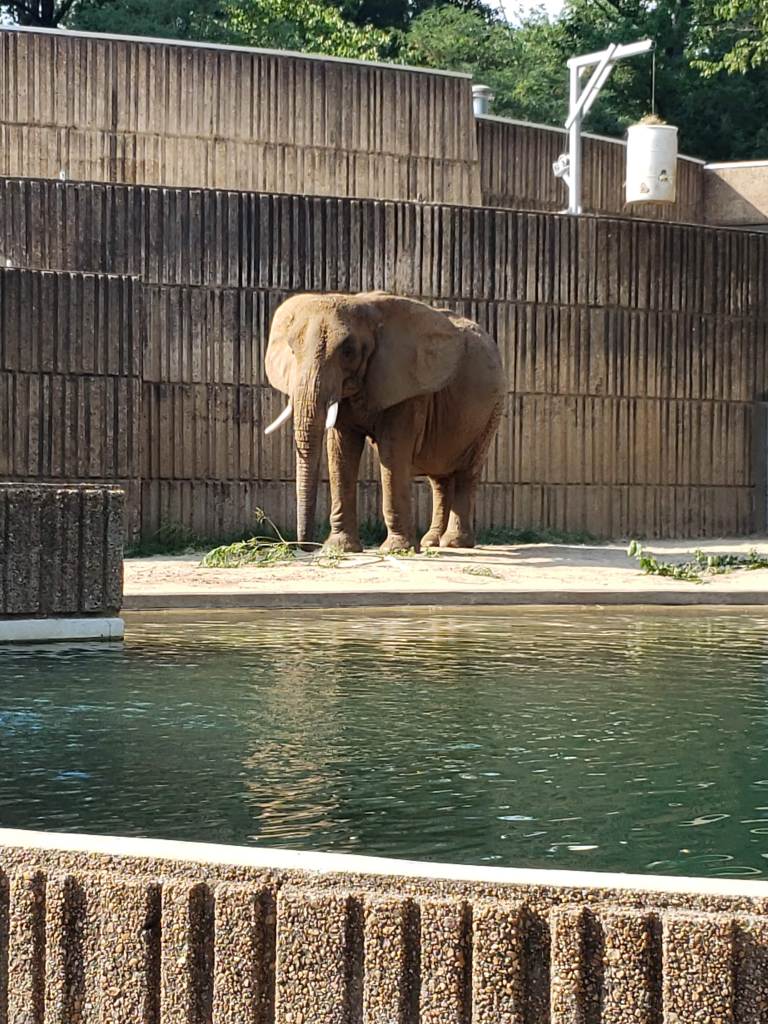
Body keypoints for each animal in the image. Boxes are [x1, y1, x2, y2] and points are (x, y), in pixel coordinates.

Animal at [263, 291, 505, 553]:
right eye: (291, 350)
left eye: (348, 352)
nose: (304, 546)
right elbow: (341, 450)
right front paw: (340, 548)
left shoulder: (407, 385)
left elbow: (393, 451)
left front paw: (397, 549)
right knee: (439, 477)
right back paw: (431, 542)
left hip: (492, 409)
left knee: (466, 471)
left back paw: (455, 543)